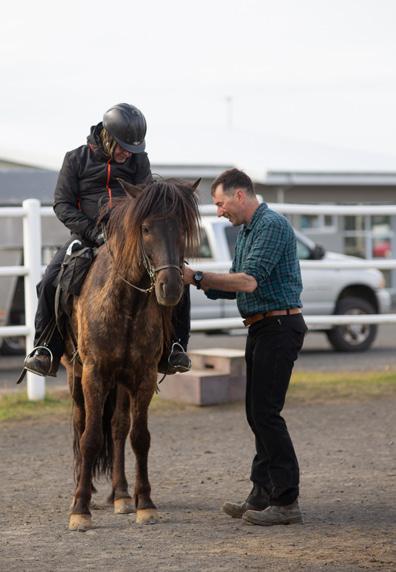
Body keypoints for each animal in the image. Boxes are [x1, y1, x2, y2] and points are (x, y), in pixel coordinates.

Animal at [66, 180, 201, 532]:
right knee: (80, 425)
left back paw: (122, 495)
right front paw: (80, 510)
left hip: (121, 383)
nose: (171, 287)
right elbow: (89, 438)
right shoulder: (94, 374)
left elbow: (139, 437)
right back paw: (81, 492)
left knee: (117, 428)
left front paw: (145, 504)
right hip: (75, 375)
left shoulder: (143, 376)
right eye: (146, 228)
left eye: (182, 228)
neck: (125, 303)